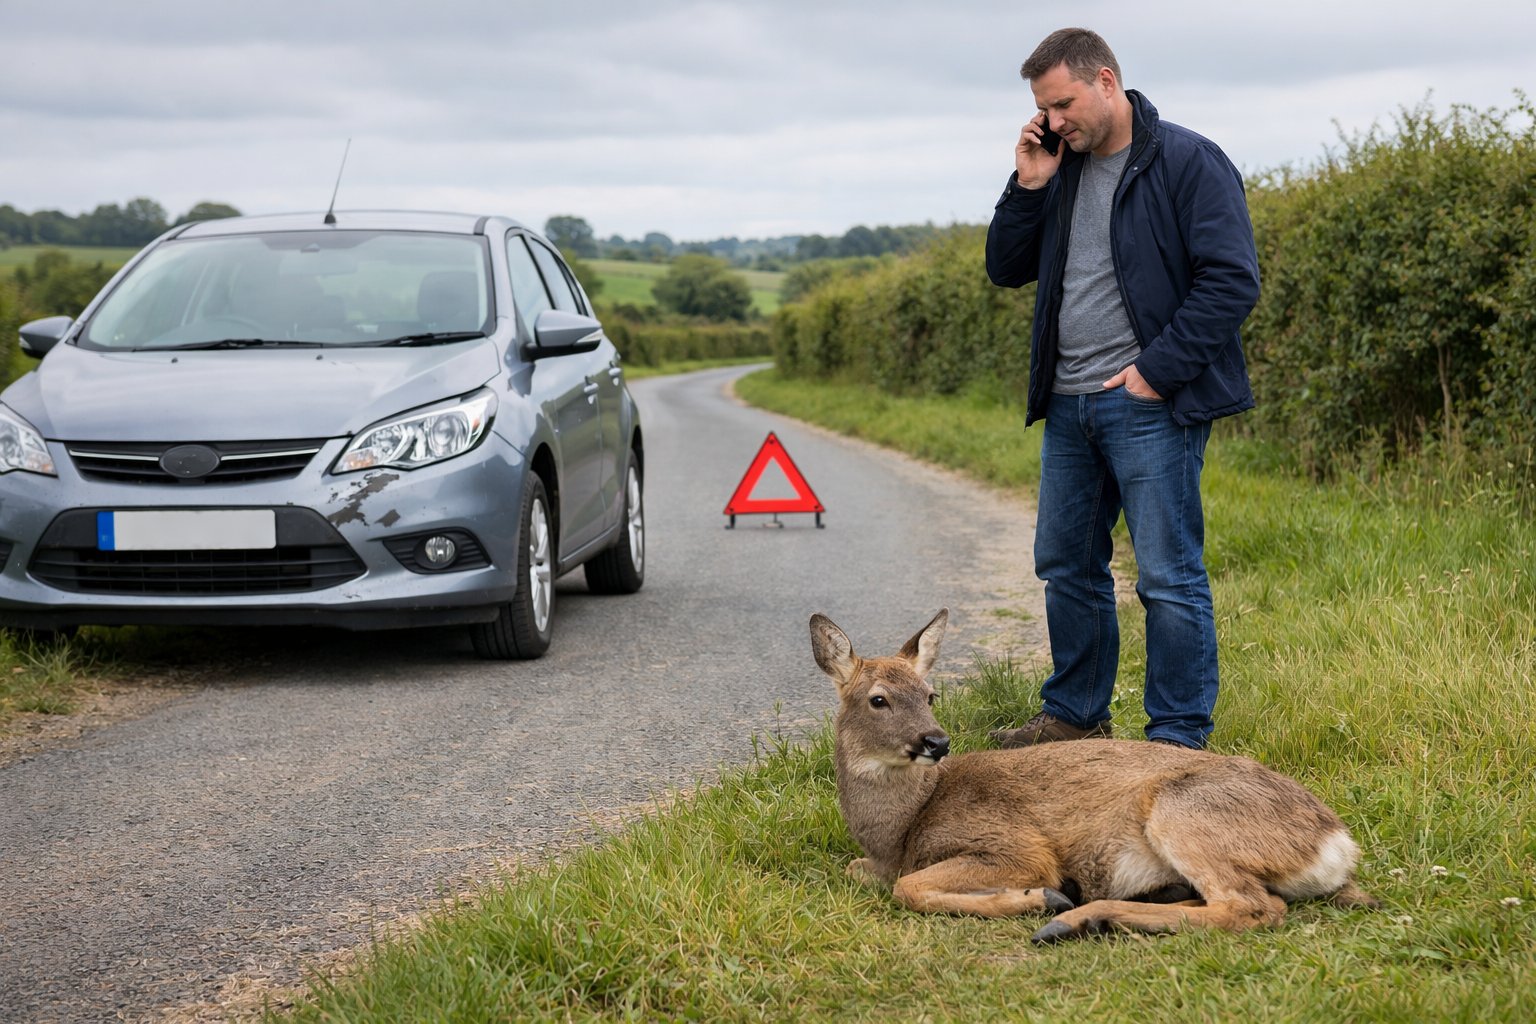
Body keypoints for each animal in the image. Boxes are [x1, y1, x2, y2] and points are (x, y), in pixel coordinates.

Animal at [809, 609, 1378, 942]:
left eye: (930, 695)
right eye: (878, 699)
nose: (937, 741)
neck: (902, 830)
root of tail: (1337, 842)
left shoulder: (1014, 845)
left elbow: (908, 888)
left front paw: (1038, 897)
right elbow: (860, 871)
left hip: (1185, 812)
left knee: (1252, 907)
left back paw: (1074, 916)